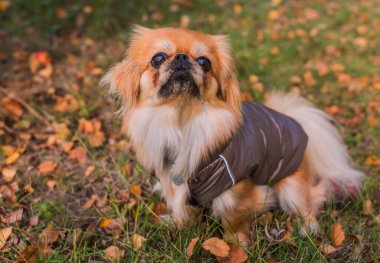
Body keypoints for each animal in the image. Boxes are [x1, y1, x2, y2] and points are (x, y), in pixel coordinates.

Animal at [101, 26, 366, 245]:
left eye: (205, 62)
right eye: (158, 58)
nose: (182, 58)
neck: (180, 122)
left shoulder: (235, 186)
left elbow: (233, 220)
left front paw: (235, 248)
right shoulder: (173, 180)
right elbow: (181, 208)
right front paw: (178, 225)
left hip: (291, 188)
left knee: (311, 201)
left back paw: (307, 227)